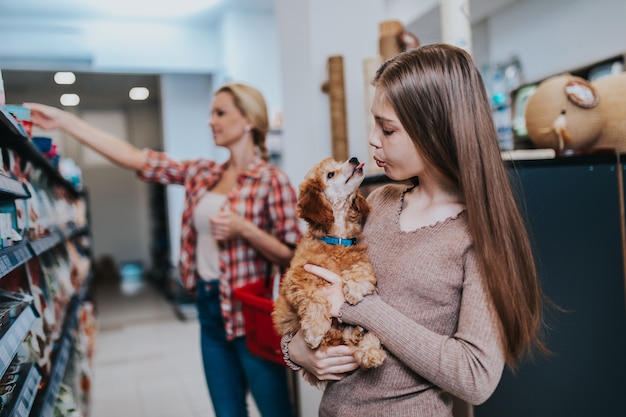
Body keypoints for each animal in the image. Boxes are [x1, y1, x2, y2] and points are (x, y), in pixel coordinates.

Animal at [272, 156, 386, 386]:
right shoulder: (297, 279)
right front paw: (315, 329)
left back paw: (370, 350)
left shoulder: (360, 258)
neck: (338, 240)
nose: (354, 159)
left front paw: (354, 288)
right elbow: (313, 298)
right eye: (330, 174)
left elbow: (362, 269)